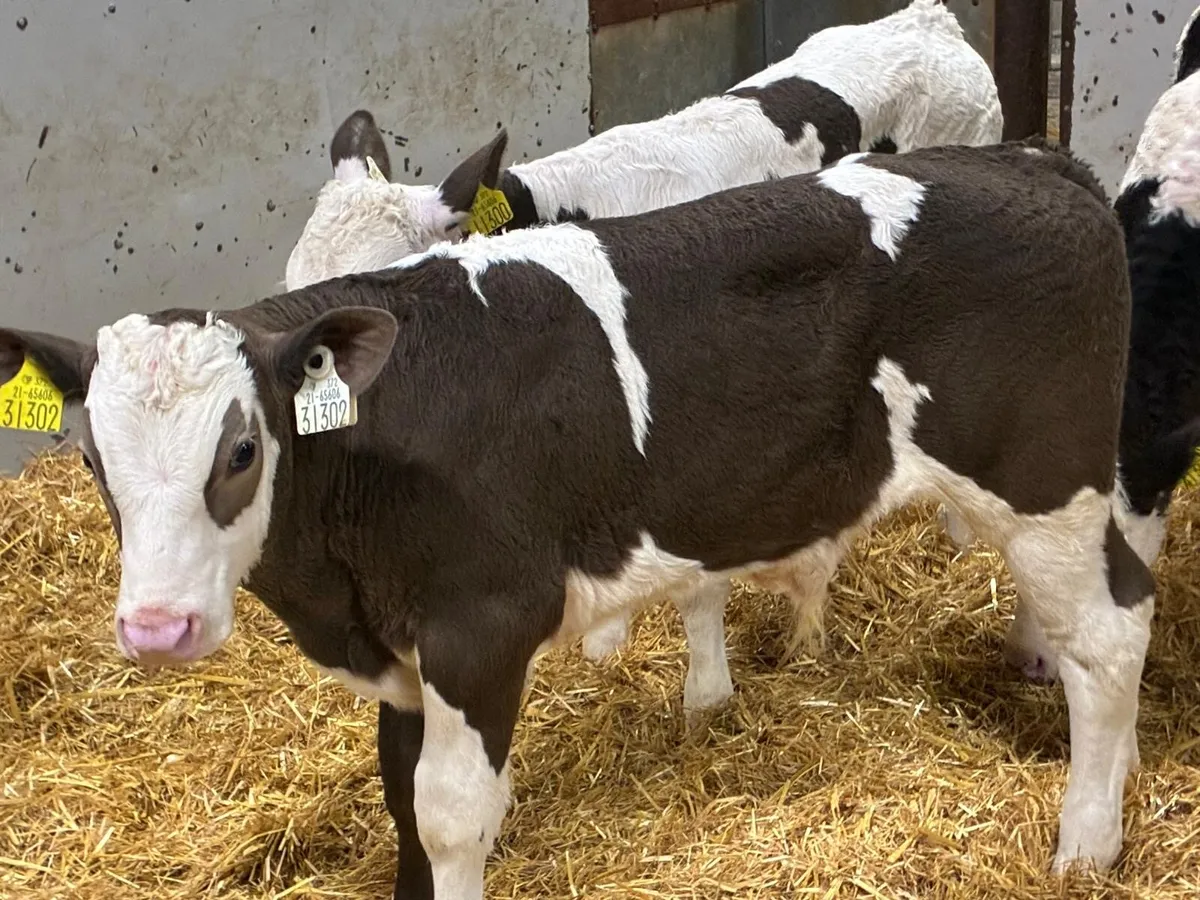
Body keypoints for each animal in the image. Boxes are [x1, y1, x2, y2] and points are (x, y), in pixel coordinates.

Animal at [0, 140, 1146, 898]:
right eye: (93, 459)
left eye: (241, 452)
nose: (157, 628)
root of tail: (1032, 162)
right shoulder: (405, 648)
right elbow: (400, 794)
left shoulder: (480, 625)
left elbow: (451, 814)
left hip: (1046, 482)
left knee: (1110, 634)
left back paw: (1086, 845)